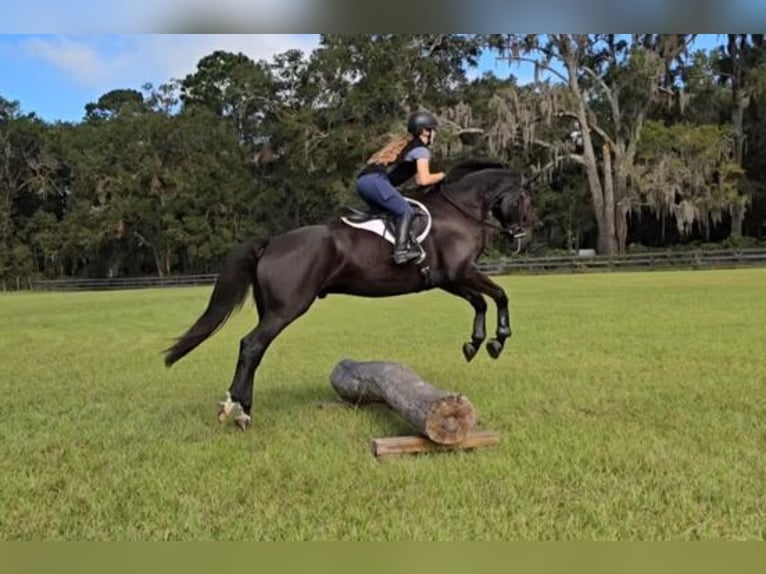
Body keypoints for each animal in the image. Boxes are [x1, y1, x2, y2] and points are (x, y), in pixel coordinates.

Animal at [164, 160, 536, 430]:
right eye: (525, 200)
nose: (521, 237)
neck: (460, 210)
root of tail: (272, 242)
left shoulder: (448, 278)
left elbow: (480, 301)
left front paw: (476, 344)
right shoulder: (462, 272)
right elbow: (500, 295)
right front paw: (499, 339)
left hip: (270, 308)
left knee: (254, 349)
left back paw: (239, 407)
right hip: (287, 308)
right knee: (252, 345)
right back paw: (240, 410)